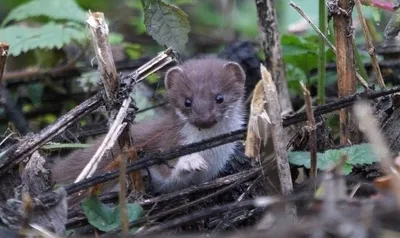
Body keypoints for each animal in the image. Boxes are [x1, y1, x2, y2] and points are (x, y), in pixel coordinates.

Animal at [50, 58, 247, 195]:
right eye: (187, 101)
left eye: (219, 97)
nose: (204, 120)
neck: (212, 152)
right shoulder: (166, 145)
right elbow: (166, 175)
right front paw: (190, 162)